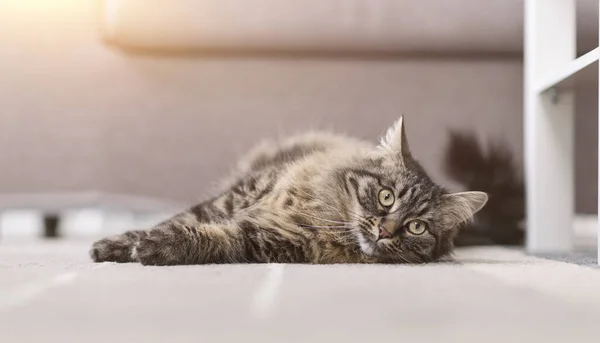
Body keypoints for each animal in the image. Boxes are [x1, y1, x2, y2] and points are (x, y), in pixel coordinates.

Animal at [92, 118, 488, 266]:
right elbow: (183, 218)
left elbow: (211, 237)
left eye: (416, 227)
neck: (325, 211)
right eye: (386, 196)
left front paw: (156, 247)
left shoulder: (264, 241)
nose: (384, 231)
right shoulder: (239, 194)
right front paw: (115, 245)